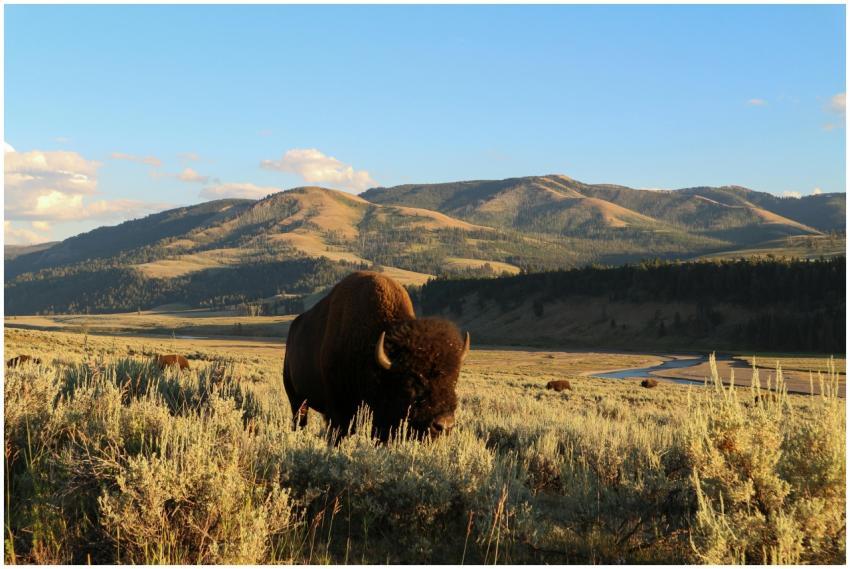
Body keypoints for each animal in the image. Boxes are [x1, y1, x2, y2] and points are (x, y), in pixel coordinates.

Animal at [283, 271, 470, 441]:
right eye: (412, 381)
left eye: (454, 379)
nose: (444, 425)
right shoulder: (338, 411)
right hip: (297, 399)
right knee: (299, 419)